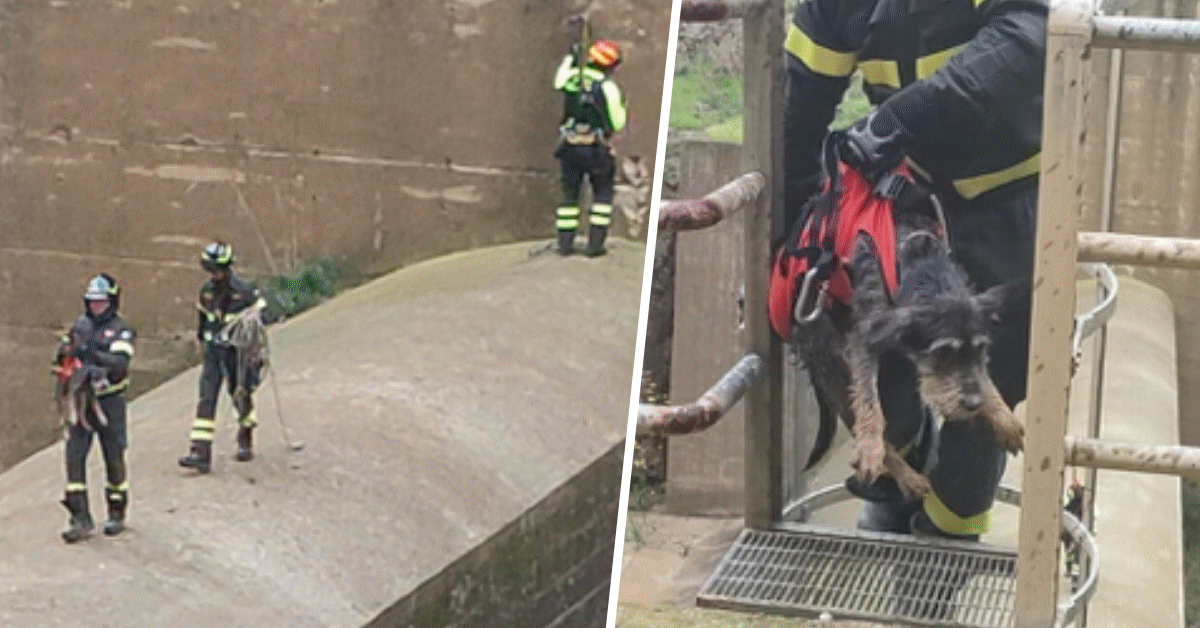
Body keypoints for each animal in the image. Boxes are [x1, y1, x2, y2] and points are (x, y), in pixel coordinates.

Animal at [792, 199, 1027, 499]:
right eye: (942, 353)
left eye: (980, 350)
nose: (974, 404)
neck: (921, 264)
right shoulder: (865, 337)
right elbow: (869, 401)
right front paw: (870, 447)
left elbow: (981, 375)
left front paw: (1001, 415)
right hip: (832, 367)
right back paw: (906, 476)